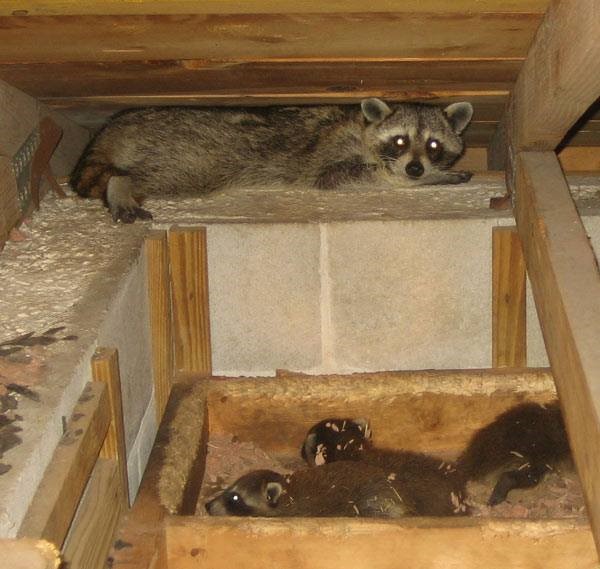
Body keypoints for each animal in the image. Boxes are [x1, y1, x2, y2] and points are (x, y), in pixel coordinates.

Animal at [70, 97, 474, 222]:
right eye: (400, 140)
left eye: (434, 145)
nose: (416, 168)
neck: (363, 128)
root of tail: (121, 121)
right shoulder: (335, 150)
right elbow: (338, 178)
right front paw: (425, 179)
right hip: (190, 153)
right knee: (166, 176)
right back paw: (121, 184)